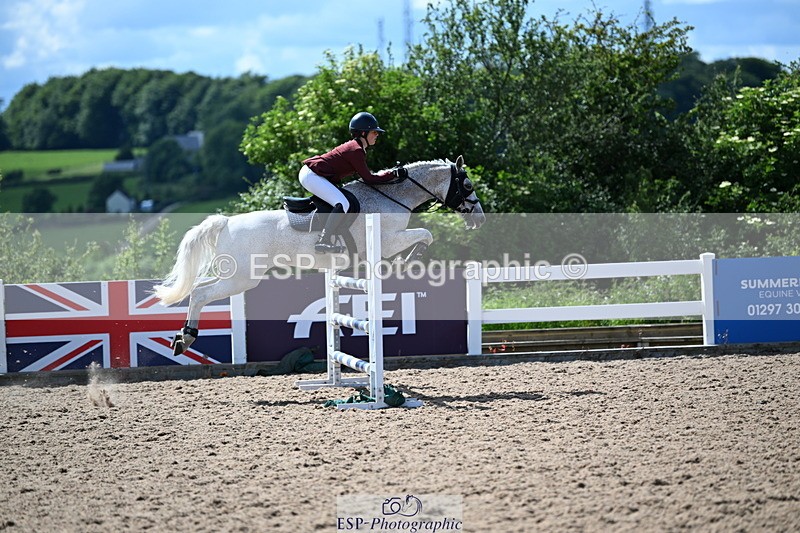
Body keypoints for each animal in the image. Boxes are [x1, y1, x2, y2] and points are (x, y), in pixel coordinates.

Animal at [153, 155, 486, 355]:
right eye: (467, 184)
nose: (479, 219)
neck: (392, 197)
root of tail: (225, 222)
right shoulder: (388, 241)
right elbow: (424, 235)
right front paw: (410, 259)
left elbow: (424, 234)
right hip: (241, 279)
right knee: (199, 293)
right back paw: (186, 337)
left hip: (233, 275)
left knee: (199, 288)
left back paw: (183, 337)